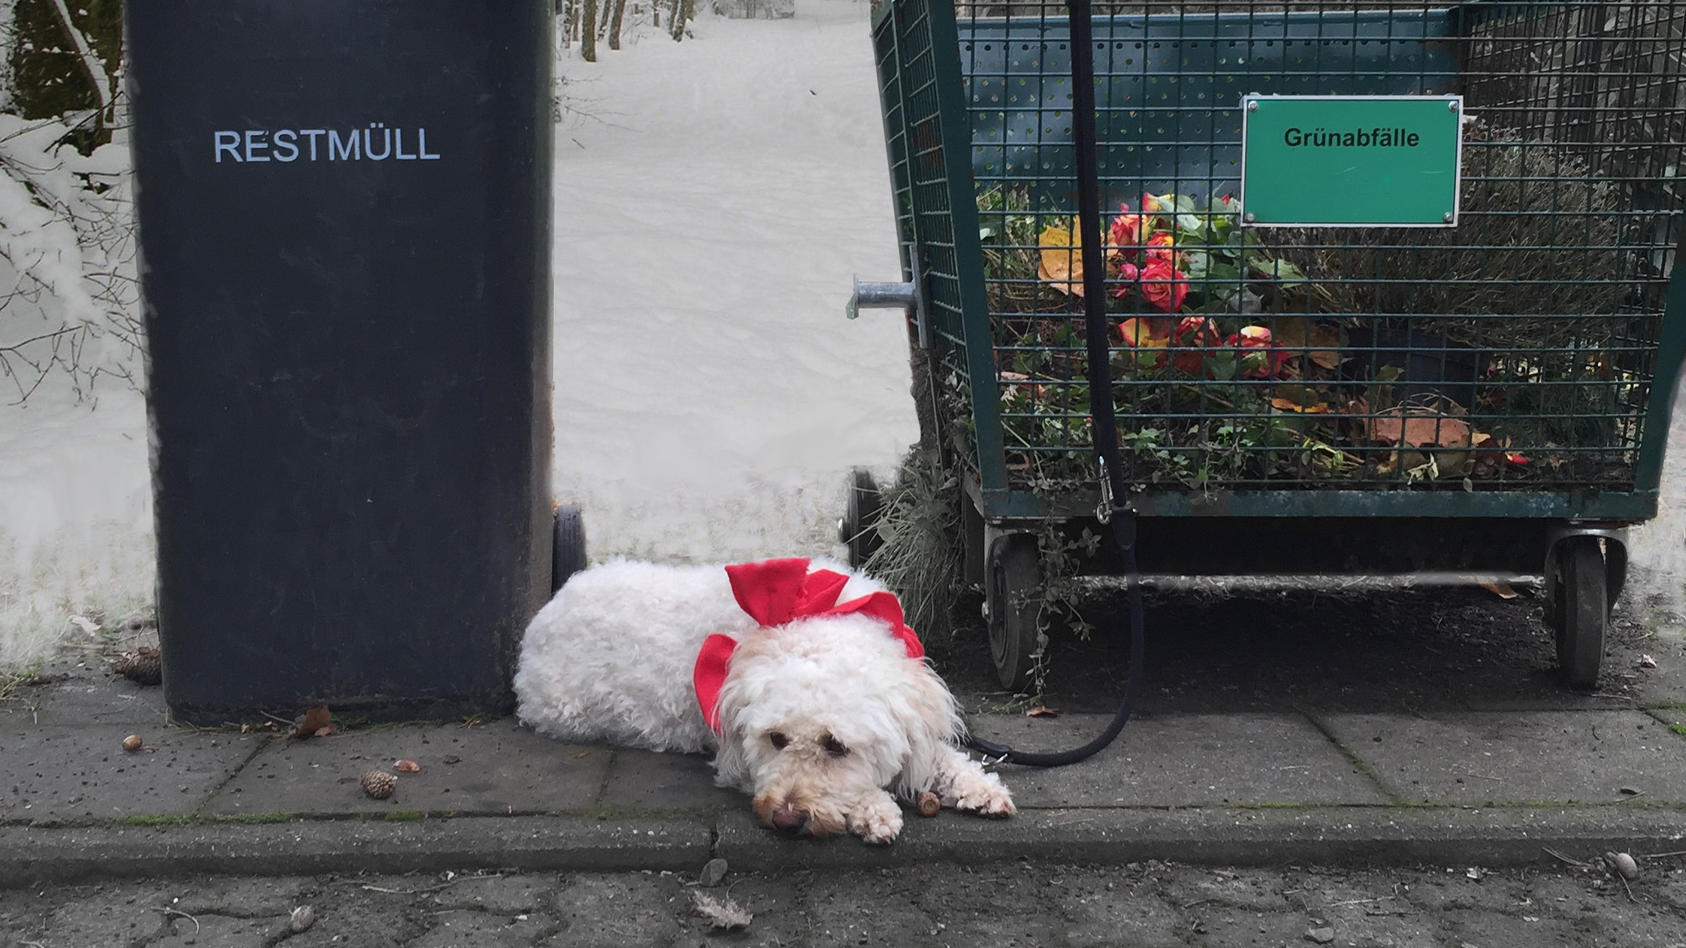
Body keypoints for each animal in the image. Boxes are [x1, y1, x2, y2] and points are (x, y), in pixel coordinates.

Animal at [512, 553, 1011, 840]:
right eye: (775, 739)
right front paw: (873, 810)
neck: (815, 617)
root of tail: (544, 614)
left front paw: (981, 787)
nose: (786, 819)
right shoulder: (735, 759)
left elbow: (940, 756)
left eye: (835, 746)